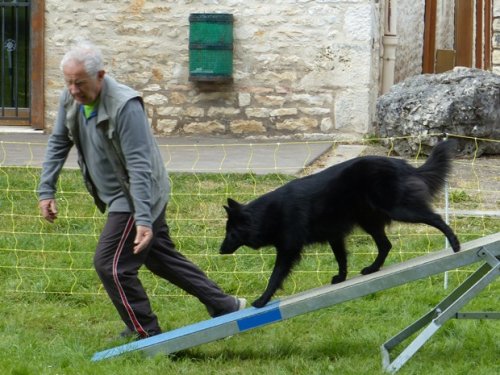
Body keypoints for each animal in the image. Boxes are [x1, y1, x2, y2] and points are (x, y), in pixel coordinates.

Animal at [220, 141, 460, 308]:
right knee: (386, 245)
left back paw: (455, 243)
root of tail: (401, 164)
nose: (220, 251)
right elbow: (341, 258)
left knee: (436, 218)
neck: (269, 214)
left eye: (231, 233)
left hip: (398, 209)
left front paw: (262, 300)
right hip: (369, 221)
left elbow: (275, 276)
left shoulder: (288, 249)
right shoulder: (334, 235)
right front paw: (342, 278)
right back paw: (372, 268)